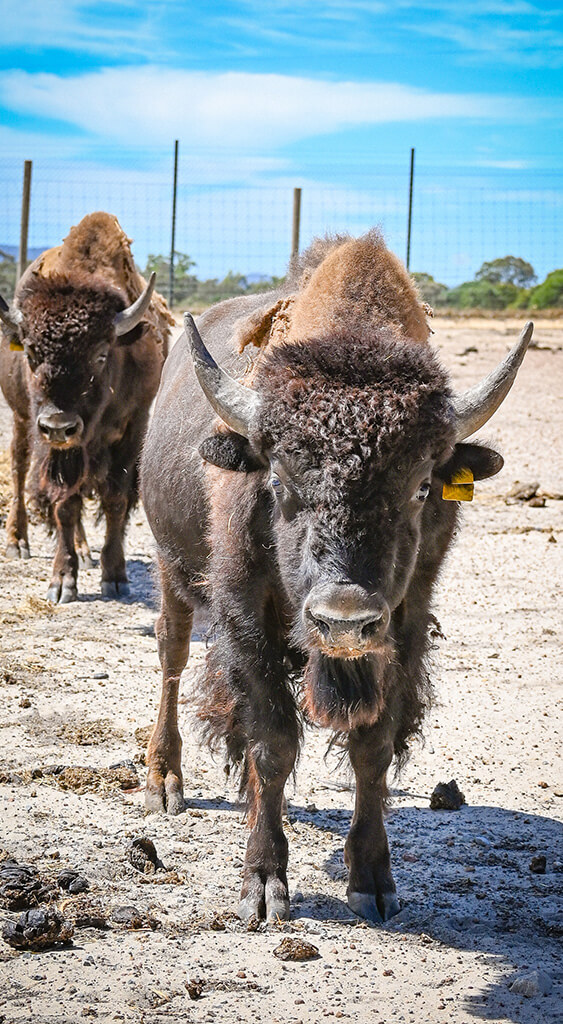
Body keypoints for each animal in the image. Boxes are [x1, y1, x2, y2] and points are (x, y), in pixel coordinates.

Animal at [0, 211, 172, 602]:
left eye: (101, 354)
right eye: (31, 353)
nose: (58, 425)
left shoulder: (133, 426)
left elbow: (115, 498)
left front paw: (115, 576)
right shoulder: (55, 447)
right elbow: (65, 504)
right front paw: (62, 581)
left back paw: (85, 552)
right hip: (21, 419)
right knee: (18, 468)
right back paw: (18, 542)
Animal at [141, 234, 532, 929]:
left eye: (421, 487)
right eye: (278, 480)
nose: (343, 617)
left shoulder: (404, 621)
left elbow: (372, 748)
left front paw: (372, 882)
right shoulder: (245, 611)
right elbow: (271, 740)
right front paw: (263, 885)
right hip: (169, 565)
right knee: (172, 651)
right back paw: (164, 782)